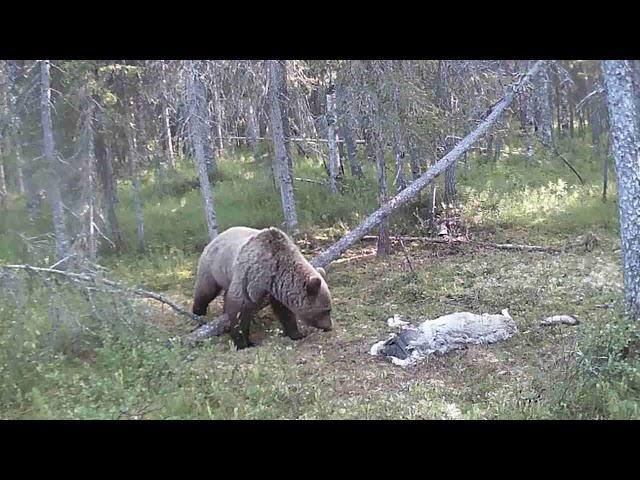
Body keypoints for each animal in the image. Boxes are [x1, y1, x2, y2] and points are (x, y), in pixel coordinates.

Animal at [191, 225, 332, 348]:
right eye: (326, 310)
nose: (329, 326)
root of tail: (215, 239)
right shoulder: (250, 276)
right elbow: (239, 309)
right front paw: (244, 343)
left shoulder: (277, 287)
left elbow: (283, 311)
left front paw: (296, 333)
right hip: (212, 268)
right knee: (205, 291)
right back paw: (198, 313)